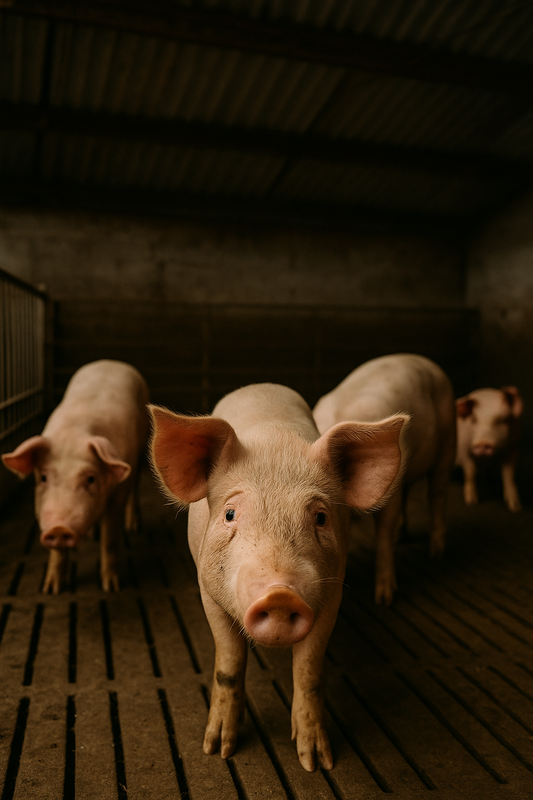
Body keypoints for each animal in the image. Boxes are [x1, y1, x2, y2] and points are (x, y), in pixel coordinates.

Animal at [2, 360, 149, 593]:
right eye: (43, 478)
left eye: (90, 479)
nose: (59, 528)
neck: (74, 432)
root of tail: (110, 361)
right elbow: (58, 552)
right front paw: (51, 589)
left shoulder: (118, 494)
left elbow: (110, 538)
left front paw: (111, 587)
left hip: (141, 452)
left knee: (135, 487)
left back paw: (133, 527)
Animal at [149, 383, 408, 771]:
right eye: (230, 514)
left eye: (320, 517)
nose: (280, 595)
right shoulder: (207, 591)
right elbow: (229, 662)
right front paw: (218, 749)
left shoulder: (331, 595)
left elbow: (308, 670)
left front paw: (315, 761)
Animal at [313, 354, 456, 605]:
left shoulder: (390, 498)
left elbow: (383, 536)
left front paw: (383, 598)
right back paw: (403, 536)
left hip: (447, 442)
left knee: (437, 494)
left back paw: (435, 553)